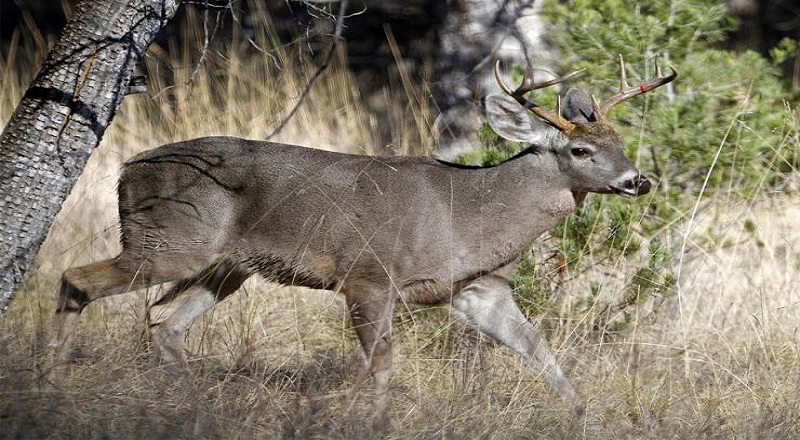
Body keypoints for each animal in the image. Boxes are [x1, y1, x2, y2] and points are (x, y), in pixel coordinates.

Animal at [50, 55, 676, 420]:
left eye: (622, 143)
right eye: (581, 150)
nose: (637, 180)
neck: (468, 215)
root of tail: (126, 168)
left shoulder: (478, 289)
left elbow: (540, 352)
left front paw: (584, 416)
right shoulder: (369, 275)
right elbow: (381, 367)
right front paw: (372, 421)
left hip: (227, 266)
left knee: (164, 323)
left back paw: (196, 402)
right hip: (174, 240)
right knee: (76, 278)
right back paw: (49, 379)